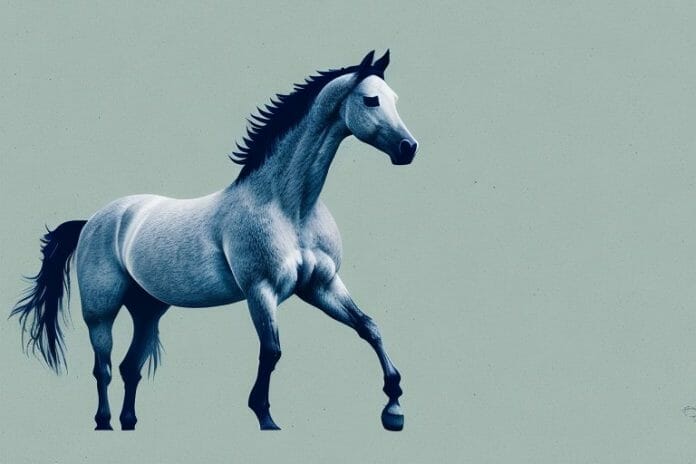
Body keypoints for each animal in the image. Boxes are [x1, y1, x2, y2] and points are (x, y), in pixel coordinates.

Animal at [10, 50, 418, 431]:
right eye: (371, 100)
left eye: (395, 98)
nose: (408, 148)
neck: (289, 208)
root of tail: (93, 221)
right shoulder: (260, 290)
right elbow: (271, 351)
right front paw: (264, 416)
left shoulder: (322, 285)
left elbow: (368, 327)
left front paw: (394, 407)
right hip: (101, 310)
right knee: (104, 368)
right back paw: (103, 421)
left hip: (148, 310)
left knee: (130, 368)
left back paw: (129, 422)